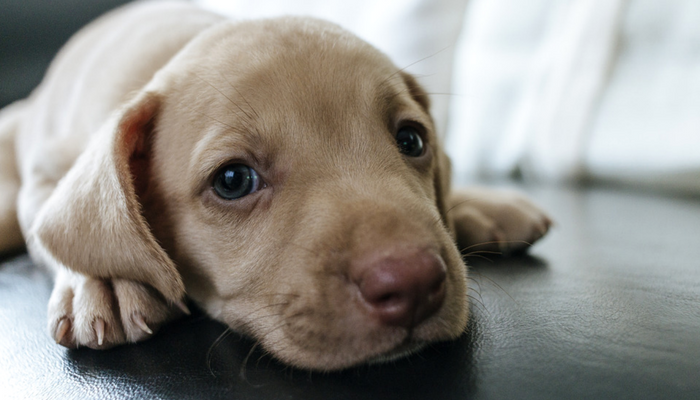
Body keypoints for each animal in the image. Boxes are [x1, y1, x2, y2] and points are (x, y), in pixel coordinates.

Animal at [0, 0, 548, 370]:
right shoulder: (45, 171)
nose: (413, 282)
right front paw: (107, 282)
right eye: (232, 180)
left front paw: (475, 204)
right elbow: (62, 229)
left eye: (411, 140)